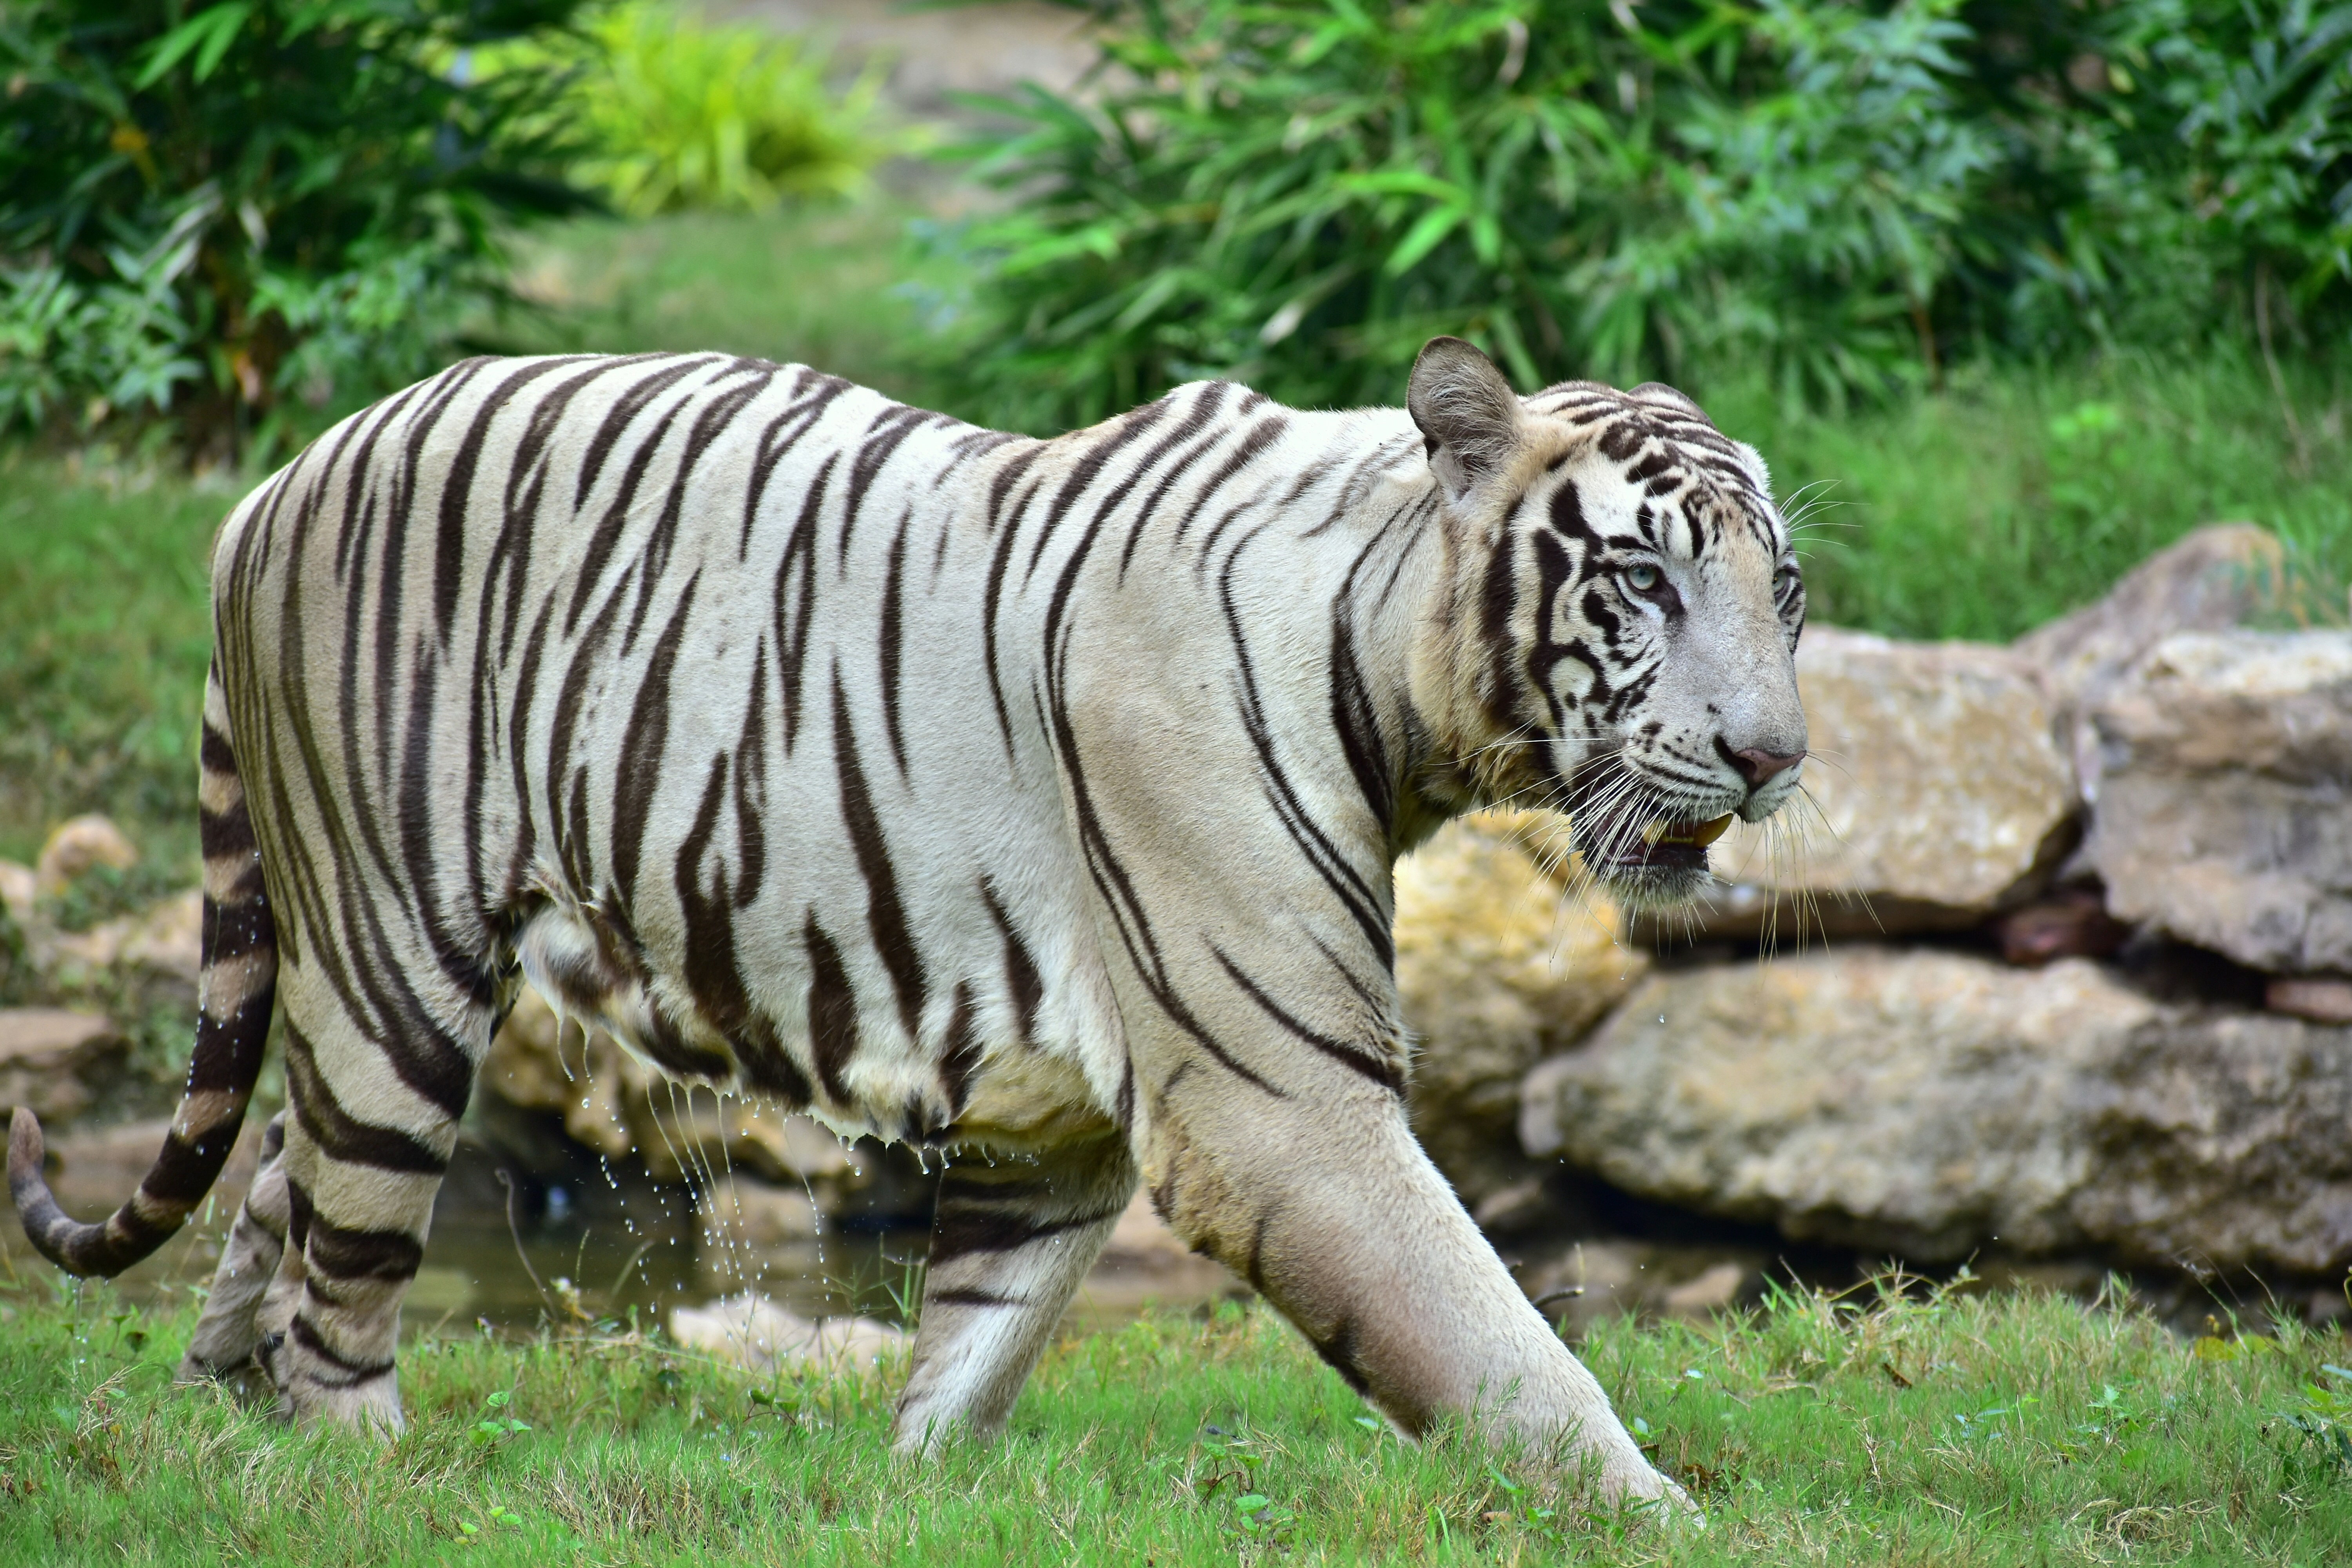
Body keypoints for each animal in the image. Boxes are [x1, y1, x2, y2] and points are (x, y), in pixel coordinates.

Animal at [9, 335, 1807, 1507]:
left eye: (1782, 592)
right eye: (1643, 584)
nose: (1775, 755)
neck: (1399, 677)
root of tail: (269, 485)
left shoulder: (1066, 1113)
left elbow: (980, 1337)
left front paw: (920, 1489)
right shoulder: (1276, 1105)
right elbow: (1498, 1345)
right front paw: (1660, 1524)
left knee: (277, 1192)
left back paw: (215, 1431)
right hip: (396, 962)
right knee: (346, 1275)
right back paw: (358, 1474)